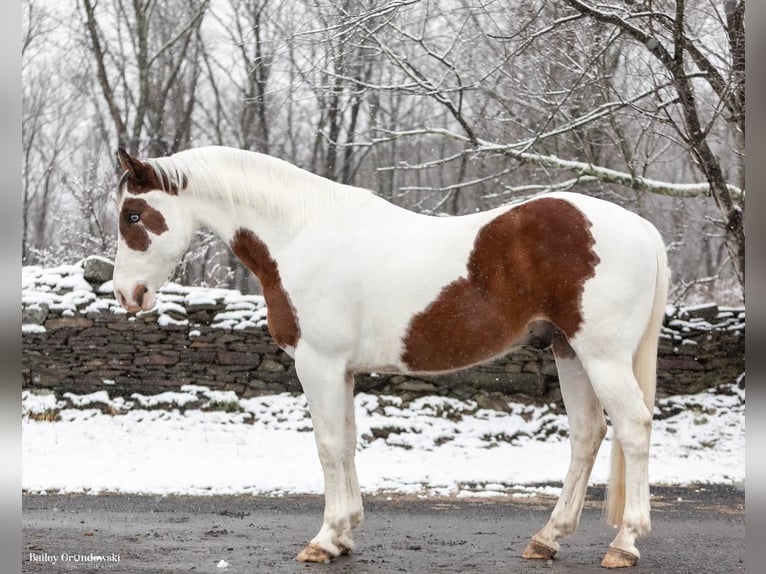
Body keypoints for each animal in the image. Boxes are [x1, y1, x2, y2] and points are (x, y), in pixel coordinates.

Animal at [111, 146, 668, 568]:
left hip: (601, 356)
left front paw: (325, 539)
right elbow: (348, 443)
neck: (300, 233)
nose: (127, 295)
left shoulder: (318, 364)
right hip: (569, 351)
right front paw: (345, 534)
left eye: (133, 216)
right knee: (587, 435)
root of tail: (643, 229)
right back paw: (547, 538)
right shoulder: (342, 371)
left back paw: (624, 544)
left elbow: (328, 445)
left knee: (633, 427)